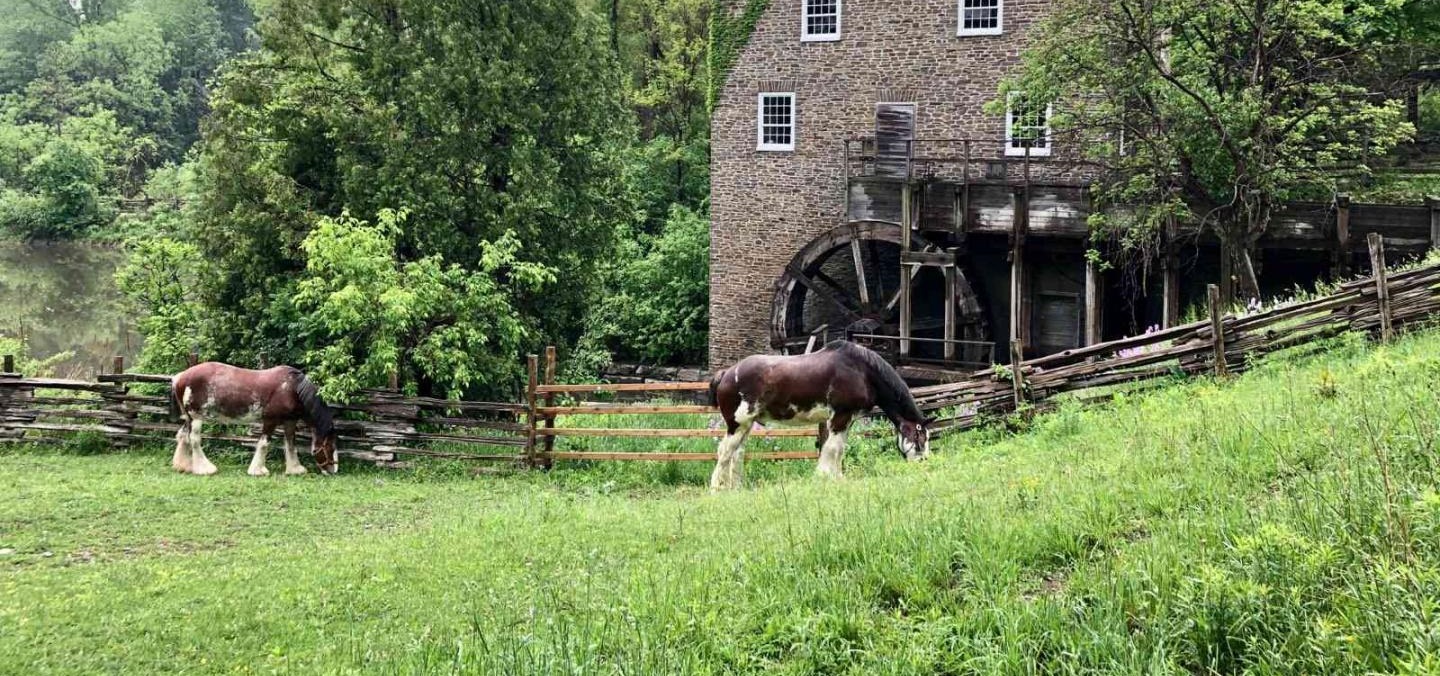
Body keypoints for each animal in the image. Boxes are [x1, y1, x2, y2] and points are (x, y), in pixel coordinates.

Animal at [169, 363, 338, 475]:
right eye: (330, 448)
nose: (333, 470)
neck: (292, 389)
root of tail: (179, 377)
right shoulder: (270, 420)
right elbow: (264, 444)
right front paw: (258, 470)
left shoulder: (290, 421)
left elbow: (291, 444)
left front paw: (295, 469)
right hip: (196, 416)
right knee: (194, 439)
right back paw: (205, 469)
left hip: (188, 417)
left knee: (183, 436)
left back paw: (183, 466)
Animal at [708, 340, 933, 487]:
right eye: (919, 436)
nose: (923, 463)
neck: (862, 372)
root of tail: (726, 373)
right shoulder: (840, 416)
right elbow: (832, 449)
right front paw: (824, 476)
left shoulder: (847, 419)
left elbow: (839, 449)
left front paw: (837, 477)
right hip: (737, 424)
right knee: (724, 452)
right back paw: (717, 488)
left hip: (746, 426)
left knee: (737, 453)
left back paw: (735, 488)